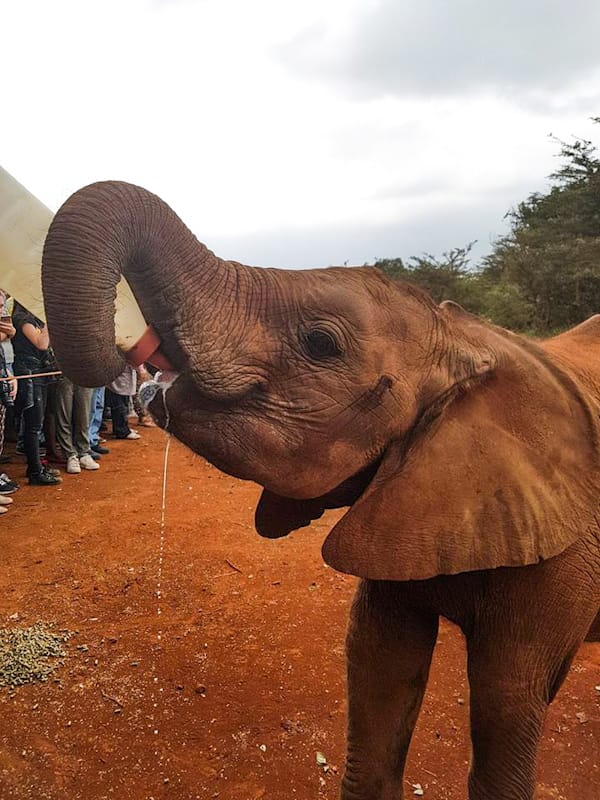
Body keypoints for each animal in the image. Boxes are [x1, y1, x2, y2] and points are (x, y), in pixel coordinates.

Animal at [41, 181, 600, 800]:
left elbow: (508, 701)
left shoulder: (563, 555)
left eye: (321, 342)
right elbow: (378, 664)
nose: (135, 358)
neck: (465, 348)